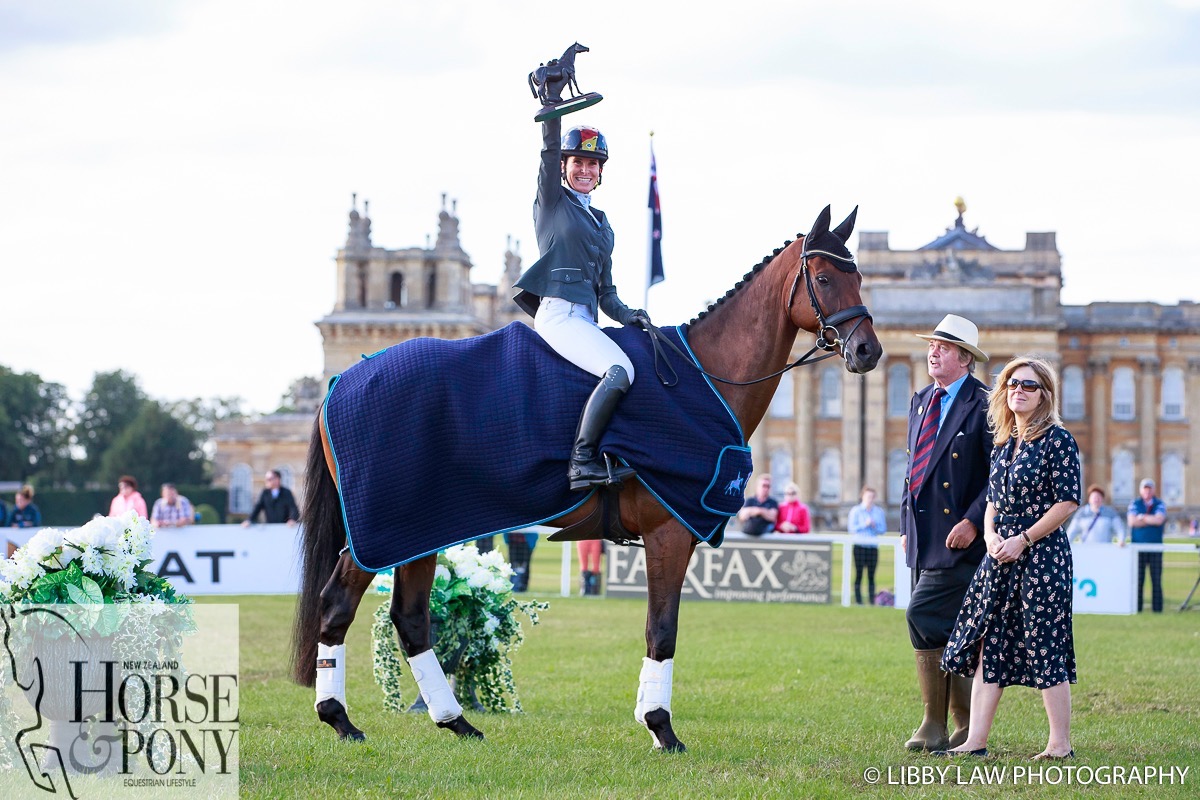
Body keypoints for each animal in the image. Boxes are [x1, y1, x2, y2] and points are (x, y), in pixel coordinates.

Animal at [292, 205, 883, 753]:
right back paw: (340, 719)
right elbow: (662, 630)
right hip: (385, 529)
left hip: (423, 529)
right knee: (338, 603)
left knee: (411, 619)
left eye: (858, 277)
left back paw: (455, 722)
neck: (705, 377)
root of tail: (345, 376)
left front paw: (649, 718)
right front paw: (661, 727)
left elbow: (658, 629)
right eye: (823, 278)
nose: (868, 351)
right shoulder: (669, 532)